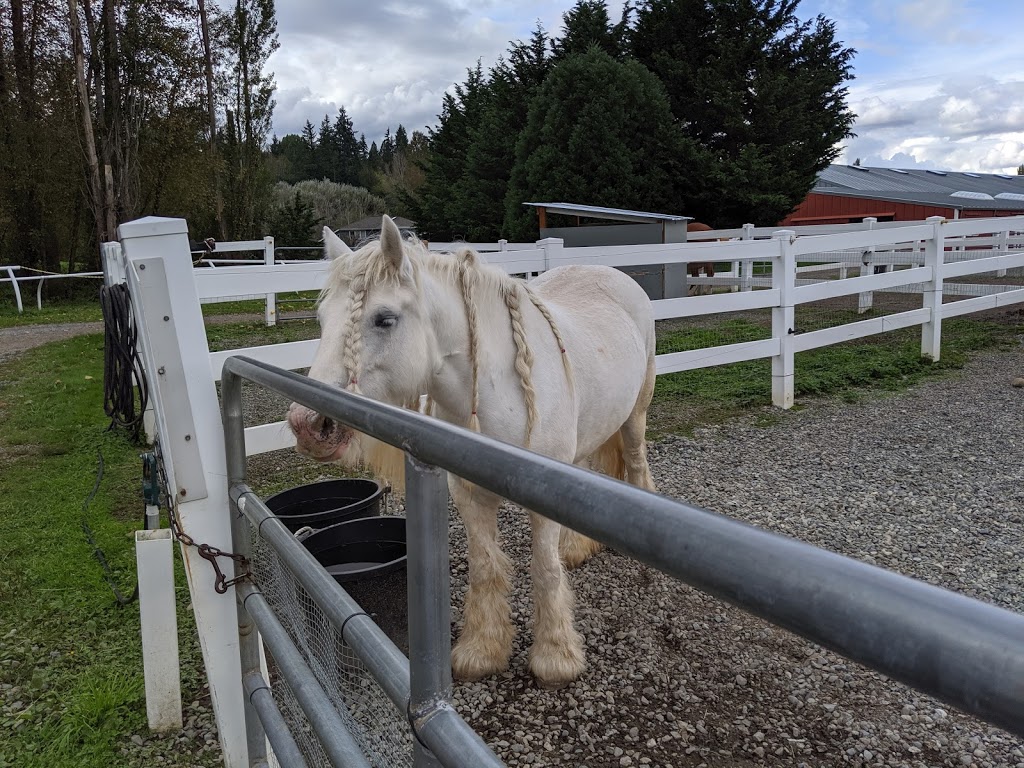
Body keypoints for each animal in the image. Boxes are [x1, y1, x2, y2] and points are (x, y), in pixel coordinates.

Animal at [288, 217, 655, 692]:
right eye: (322, 319)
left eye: (384, 319)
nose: (308, 424)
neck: (500, 392)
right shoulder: (467, 494)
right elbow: (485, 567)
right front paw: (482, 650)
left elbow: (544, 569)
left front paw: (556, 656)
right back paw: (577, 547)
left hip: (635, 415)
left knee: (637, 461)